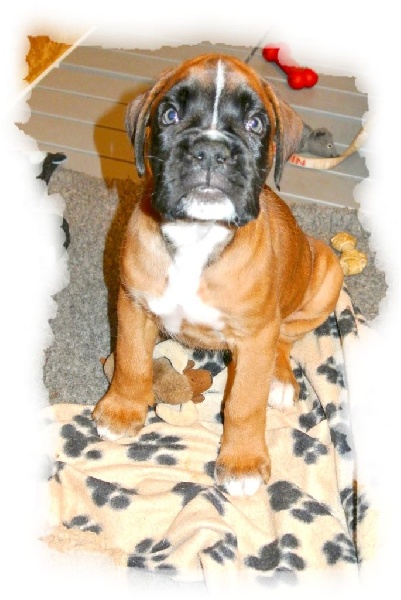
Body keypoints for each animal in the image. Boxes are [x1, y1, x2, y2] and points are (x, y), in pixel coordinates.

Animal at [93, 54, 344, 496]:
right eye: (170, 115)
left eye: (256, 124)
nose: (210, 150)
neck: (197, 234)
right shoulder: (133, 304)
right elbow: (130, 361)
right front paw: (122, 410)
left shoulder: (255, 335)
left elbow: (244, 401)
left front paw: (242, 462)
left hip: (326, 270)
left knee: (285, 339)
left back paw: (280, 381)